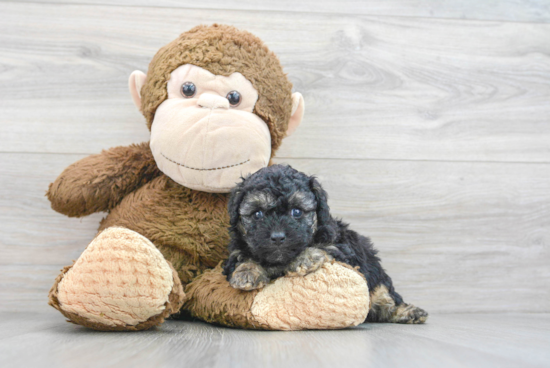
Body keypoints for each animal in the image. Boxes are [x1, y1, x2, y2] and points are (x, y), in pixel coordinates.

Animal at [222, 165, 430, 324]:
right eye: (257, 214)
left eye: (297, 212)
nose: (278, 237)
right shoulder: (236, 252)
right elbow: (242, 256)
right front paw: (246, 272)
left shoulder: (342, 249)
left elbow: (323, 247)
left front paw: (304, 259)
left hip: (377, 280)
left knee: (387, 299)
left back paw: (409, 312)